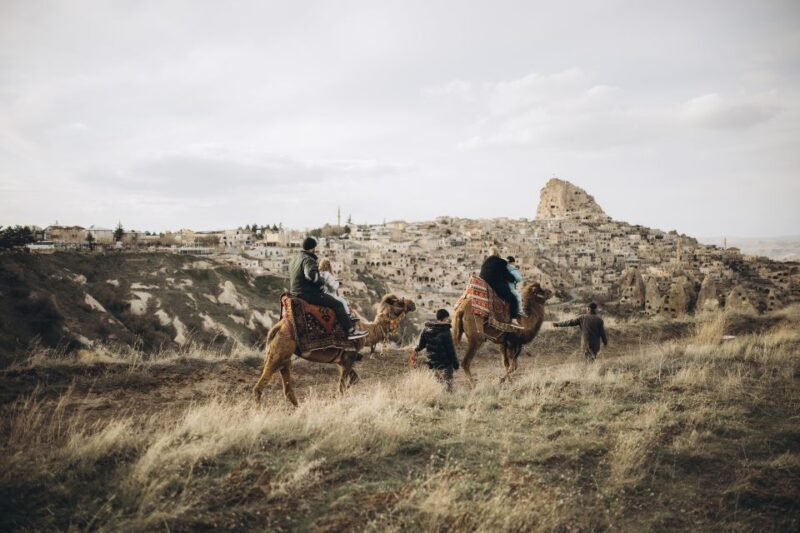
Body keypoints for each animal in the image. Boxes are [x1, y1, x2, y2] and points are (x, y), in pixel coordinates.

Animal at [253, 294, 416, 406]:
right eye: (400, 302)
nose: (413, 303)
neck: (366, 331)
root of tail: (278, 327)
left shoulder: (341, 360)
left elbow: (353, 379)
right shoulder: (349, 356)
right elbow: (342, 386)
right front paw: (337, 399)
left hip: (285, 357)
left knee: (287, 389)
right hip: (278, 354)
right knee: (259, 387)